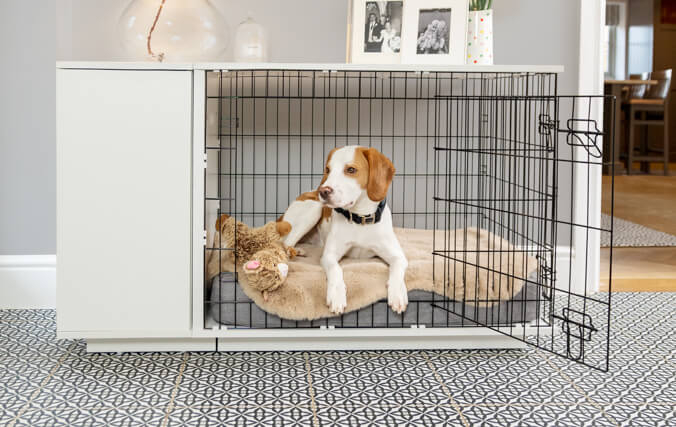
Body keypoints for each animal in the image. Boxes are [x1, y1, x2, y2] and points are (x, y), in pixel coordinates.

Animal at [278, 145, 406, 316]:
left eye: (351, 169)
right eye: (328, 169)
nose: (323, 191)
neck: (360, 218)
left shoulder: (398, 256)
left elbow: (397, 268)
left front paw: (398, 293)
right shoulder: (328, 256)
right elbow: (336, 269)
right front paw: (337, 295)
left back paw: (297, 250)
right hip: (314, 208)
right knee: (284, 244)